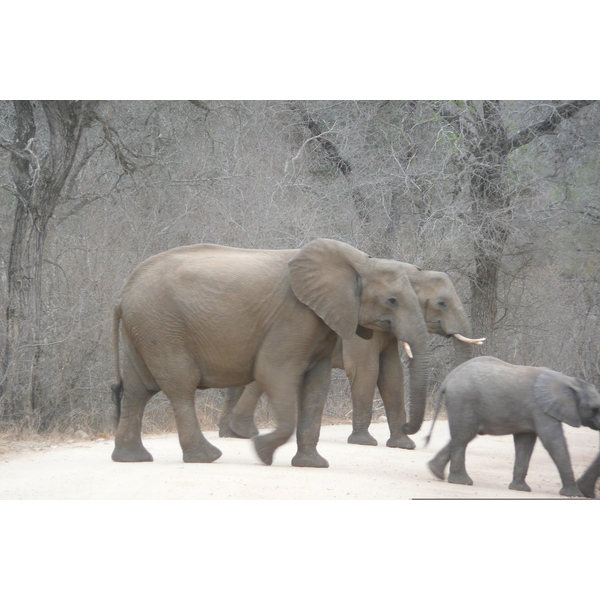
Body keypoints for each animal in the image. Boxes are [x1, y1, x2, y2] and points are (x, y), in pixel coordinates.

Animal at [111, 239, 432, 468]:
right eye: (392, 300)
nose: (410, 428)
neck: (360, 262)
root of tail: (123, 293)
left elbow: (317, 384)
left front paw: (312, 465)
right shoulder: (295, 316)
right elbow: (273, 372)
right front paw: (262, 451)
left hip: (142, 327)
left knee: (138, 390)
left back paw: (132, 459)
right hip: (162, 327)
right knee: (179, 387)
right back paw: (207, 457)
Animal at [220, 260, 482, 448]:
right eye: (442, 304)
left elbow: (392, 375)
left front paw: (403, 445)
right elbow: (367, 371)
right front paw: (364, 442)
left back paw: (231, 434)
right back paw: (243, 431)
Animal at [426, 356, 600, 496]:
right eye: (594, 408)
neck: (569, 380)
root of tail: (448, 379)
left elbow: (525, 444)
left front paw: (520, 489)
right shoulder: (541, 410)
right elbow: (553, 442)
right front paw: (575, 494)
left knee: (463, 435)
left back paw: (436, 471)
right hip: (464, 399)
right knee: (464, 436)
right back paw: (462, 482)